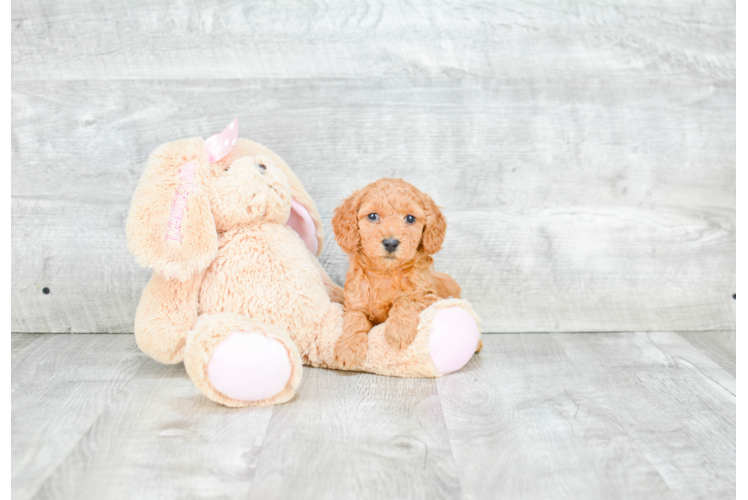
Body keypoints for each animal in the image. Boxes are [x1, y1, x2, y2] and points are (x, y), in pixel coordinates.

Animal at [334, 179, 480, 368]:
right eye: (372, 216)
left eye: (410, 218)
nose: (390, 243)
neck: (386, 274)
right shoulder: (354, 303)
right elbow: (354, 320)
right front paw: (348, 348)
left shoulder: (428, 296)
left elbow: (406, 300)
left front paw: (398, 330)